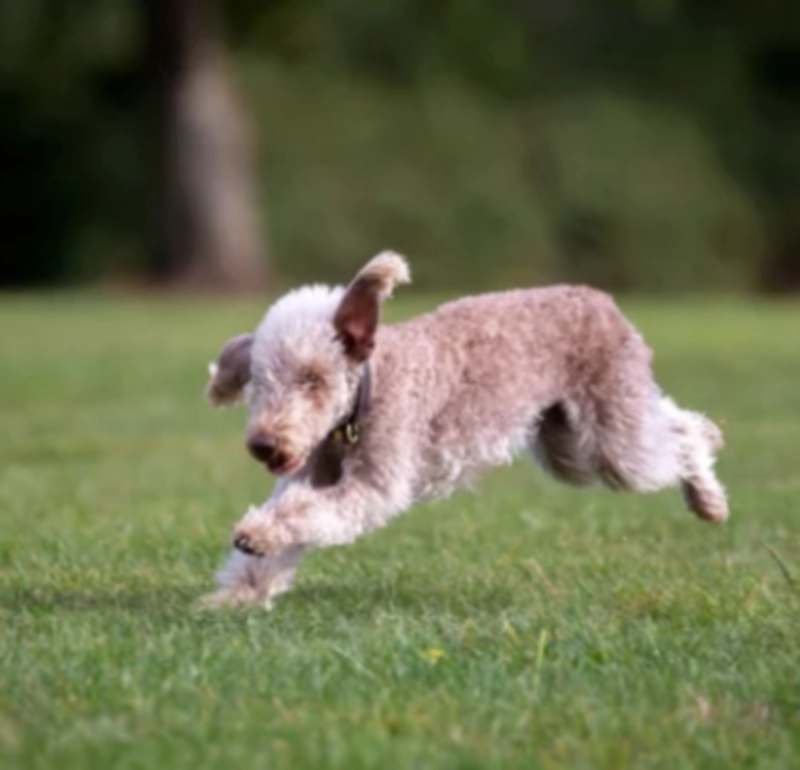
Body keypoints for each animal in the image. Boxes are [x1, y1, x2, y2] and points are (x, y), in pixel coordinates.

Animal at [198, 252, 724, 608]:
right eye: (258, 381)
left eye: (311, 378)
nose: (263, 445)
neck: (359, 405)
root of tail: (601, 299)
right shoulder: (310, 473)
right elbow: (294, 513)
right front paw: (241, 591)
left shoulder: (375, 480)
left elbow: (308, 512)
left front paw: (256, 536)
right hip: (566, 445)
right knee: (667, 425)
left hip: (611, 433)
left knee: (683, 434)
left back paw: (709, 497)